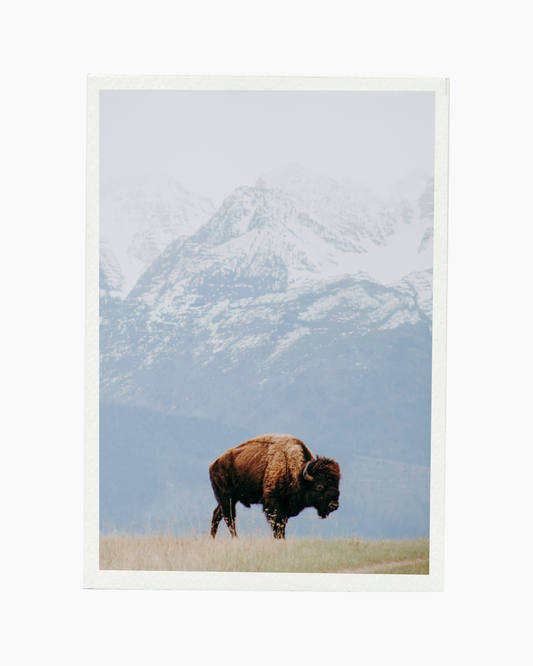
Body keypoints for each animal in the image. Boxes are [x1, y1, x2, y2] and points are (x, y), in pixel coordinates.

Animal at [209, 434, 341, 539]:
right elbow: (278, 527)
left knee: (218, 514)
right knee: (229, 518)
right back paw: (235, 538)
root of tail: (213, 464)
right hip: (227, 497)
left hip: (231, 499)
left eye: (337, 484)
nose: (334, 505)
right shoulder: (275, 506)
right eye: (319, 486)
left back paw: (213, 538)